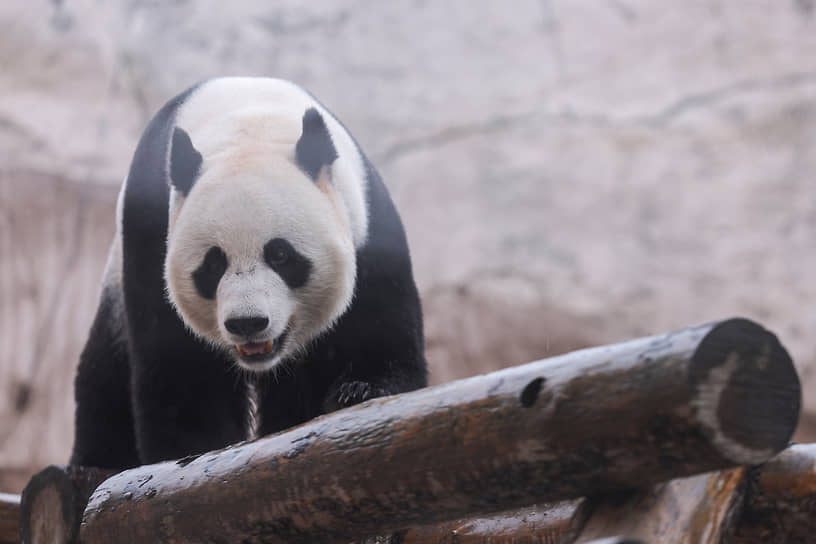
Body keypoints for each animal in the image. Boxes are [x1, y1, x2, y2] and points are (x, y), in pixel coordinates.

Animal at [69, 76, 428, 468]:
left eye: (281, 255)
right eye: (213, 264)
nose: (247, 323)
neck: (250, 126)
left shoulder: (366, 222)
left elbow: (378, 327)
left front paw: (358, 391)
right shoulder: (149, 230)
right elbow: (177, 364)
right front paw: (195, 450)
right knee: (105, 381)